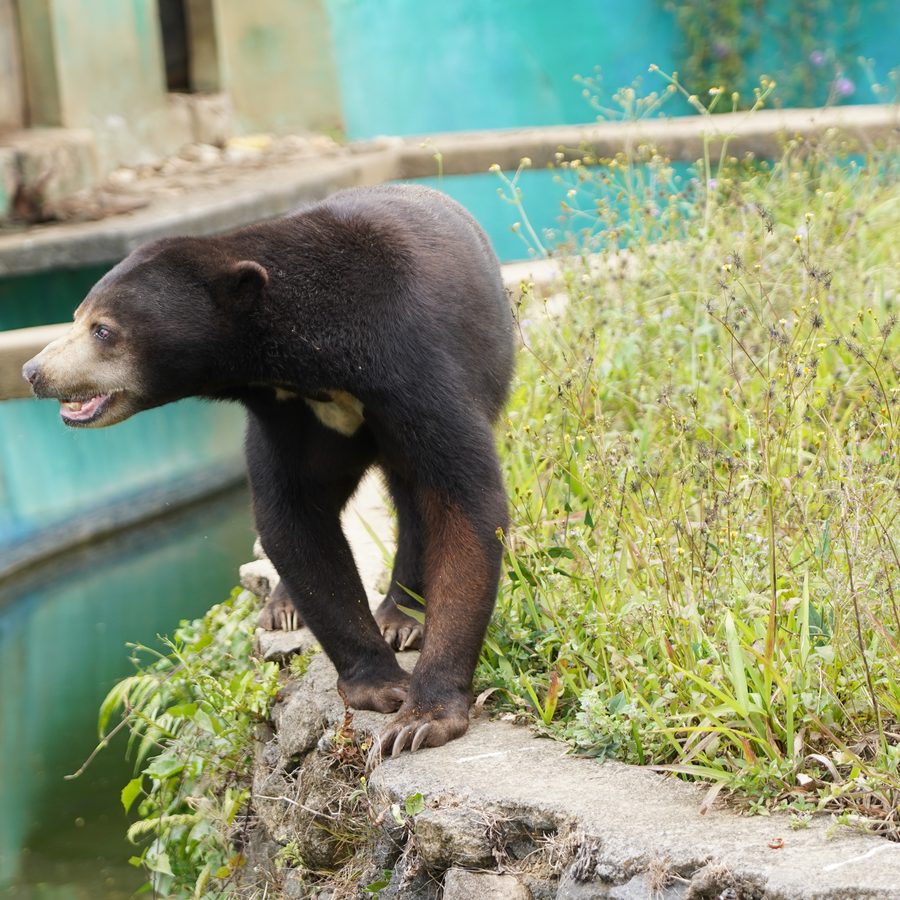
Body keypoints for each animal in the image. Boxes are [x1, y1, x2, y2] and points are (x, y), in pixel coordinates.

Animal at [22, 184, 515, 755]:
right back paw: (284, 606)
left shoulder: (416, 369)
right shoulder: (287, 415)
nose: (32, 371)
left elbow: (466, 502)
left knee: (414, 497)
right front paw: (379, 685)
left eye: (103, 330)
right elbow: (292, 515)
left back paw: (401, 616)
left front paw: (422, 718)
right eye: (78, 315)